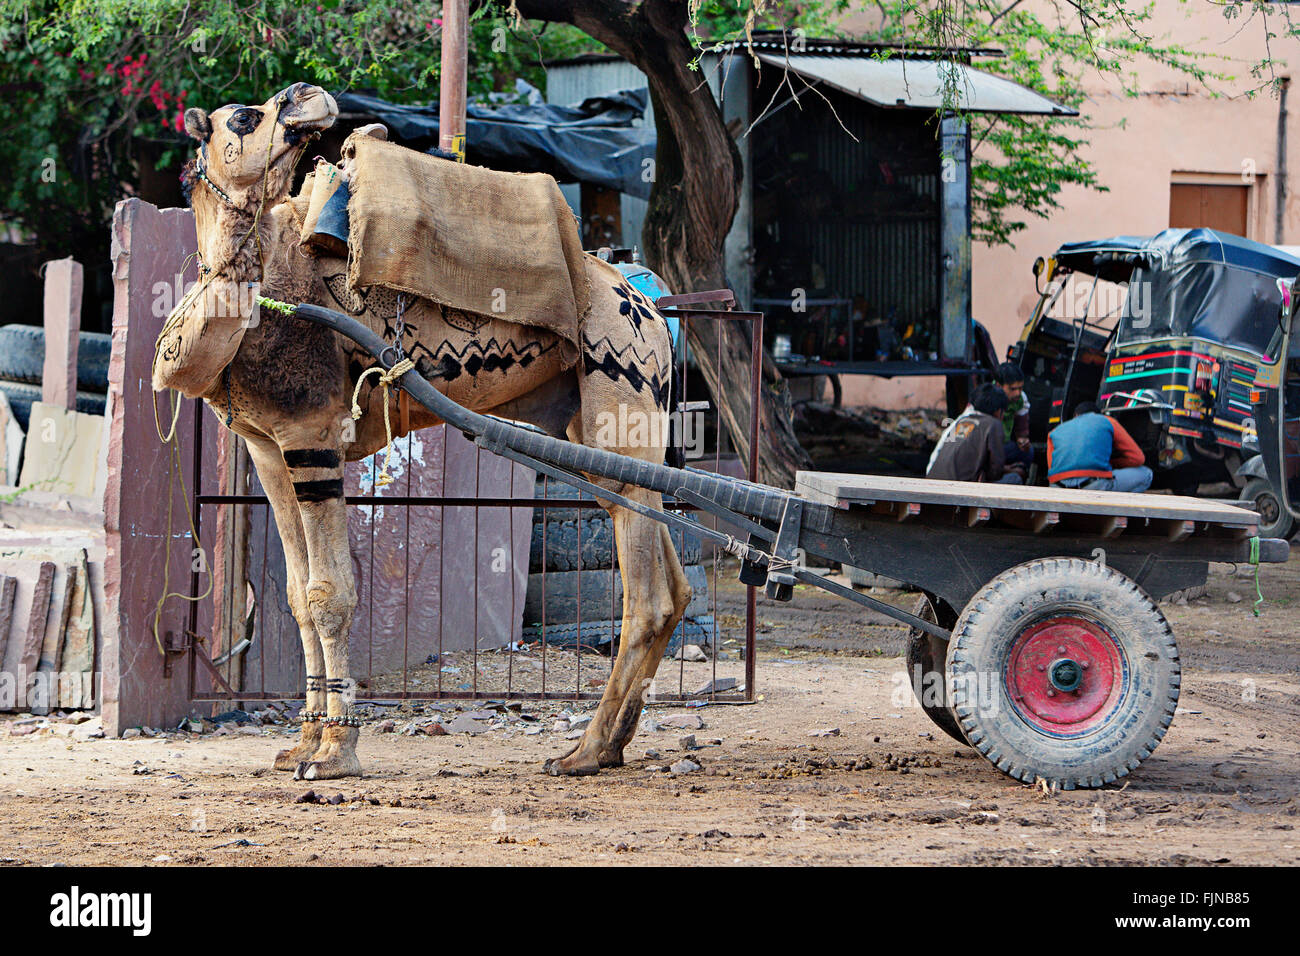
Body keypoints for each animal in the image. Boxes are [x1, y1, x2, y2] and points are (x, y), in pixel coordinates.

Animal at [157, 82, 696, 780]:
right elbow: (299, 597)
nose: (309, 95)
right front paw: (300, 744)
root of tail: (649, 306)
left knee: (647, 595)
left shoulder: (312, 437)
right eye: (245, 117)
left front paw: (335, 753)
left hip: (623, 397)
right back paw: (609, 745)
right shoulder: (269, 451)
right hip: (597, 432)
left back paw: (584, 752)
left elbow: (332, 593)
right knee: (669, 572)